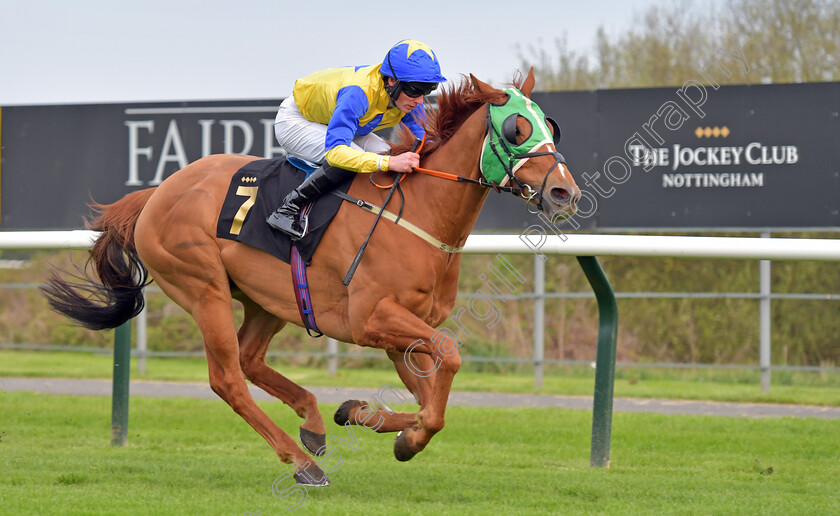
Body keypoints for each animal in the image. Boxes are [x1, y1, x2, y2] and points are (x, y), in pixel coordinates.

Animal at [44, 70, 576, 486]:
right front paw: (399, 434)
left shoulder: (401, 328)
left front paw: (368, 417)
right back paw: (303, 463)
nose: (563, 192)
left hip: (267, 298)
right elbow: (447, 357)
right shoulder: (371, 319)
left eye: (550, 124)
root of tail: (157, 193)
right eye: (516, 128)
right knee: (227, 378)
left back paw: (315, 423)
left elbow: (432, 400)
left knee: (250, 359)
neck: (417, 213)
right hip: (203, 287)